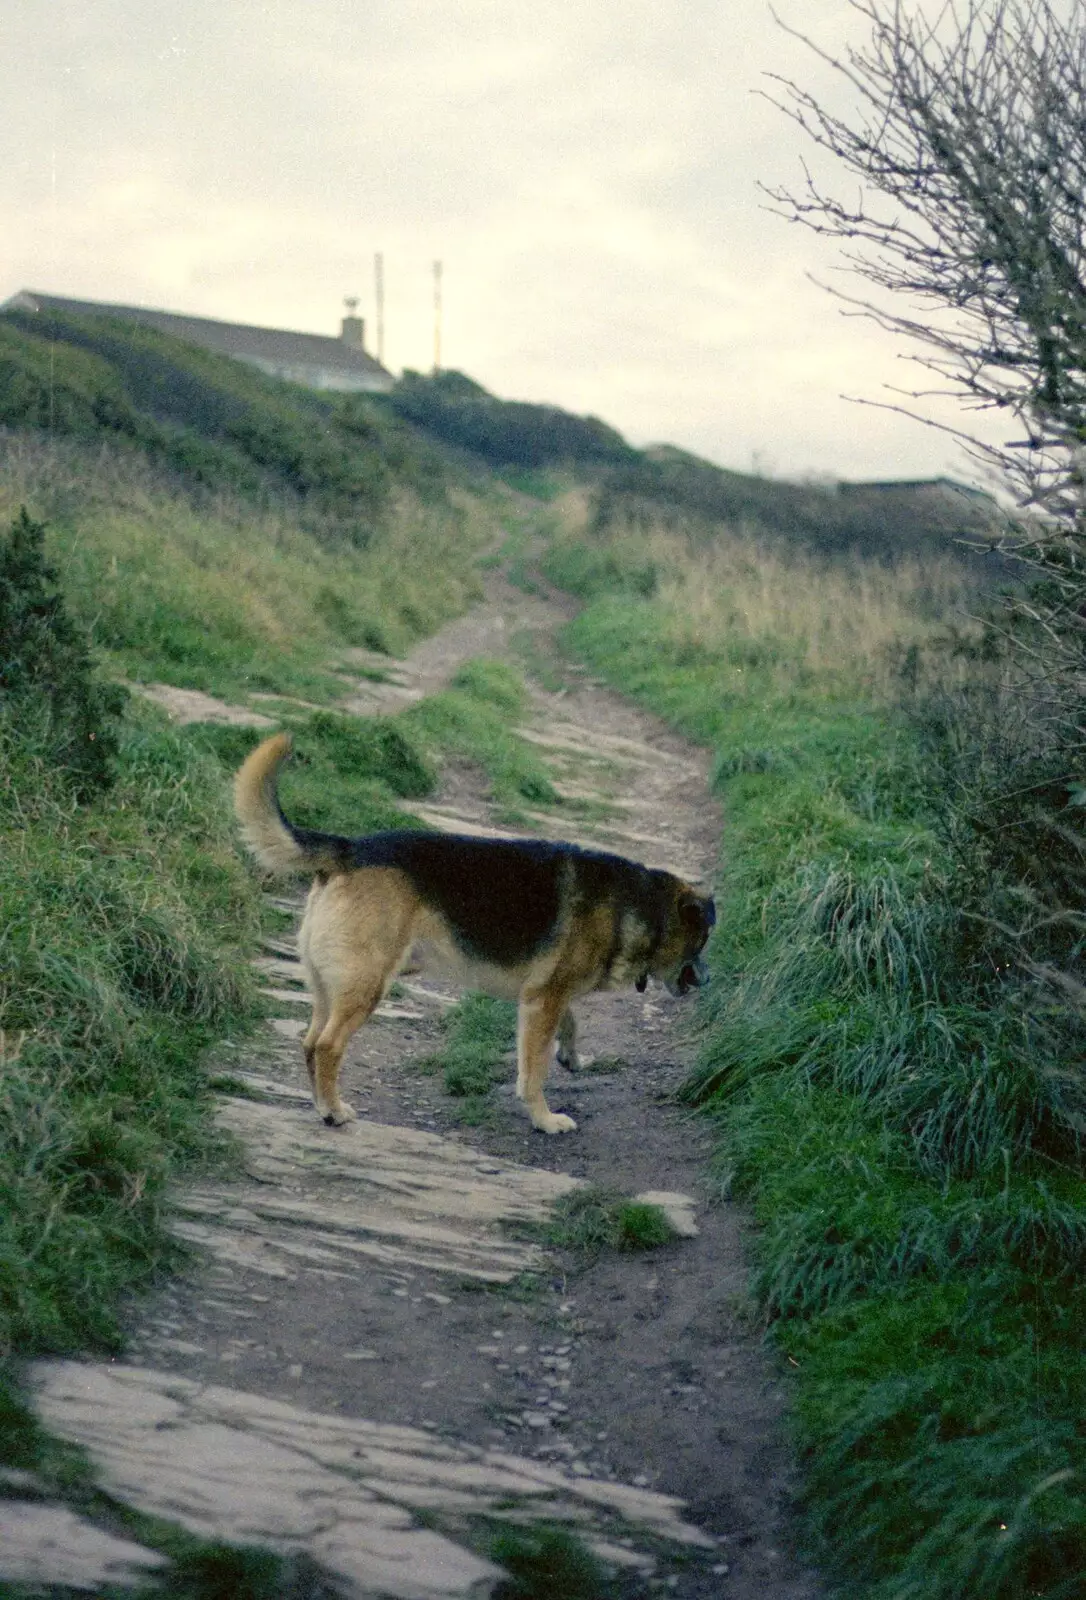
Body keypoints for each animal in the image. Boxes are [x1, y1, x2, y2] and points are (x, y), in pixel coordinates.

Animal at [233, 736, 716, 1139]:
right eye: (704, 941)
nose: (709, 980)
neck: (642, 907)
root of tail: (348, 850)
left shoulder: (544, 996)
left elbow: (569, 1024)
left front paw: (572, 1056)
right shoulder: (544, 999)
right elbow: (533, 1071)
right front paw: (545, 1119)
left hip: (328, 987)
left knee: (309, 1044)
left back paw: (321, 1105)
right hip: (366, 986)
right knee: (328, 1046)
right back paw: (334, 1111)